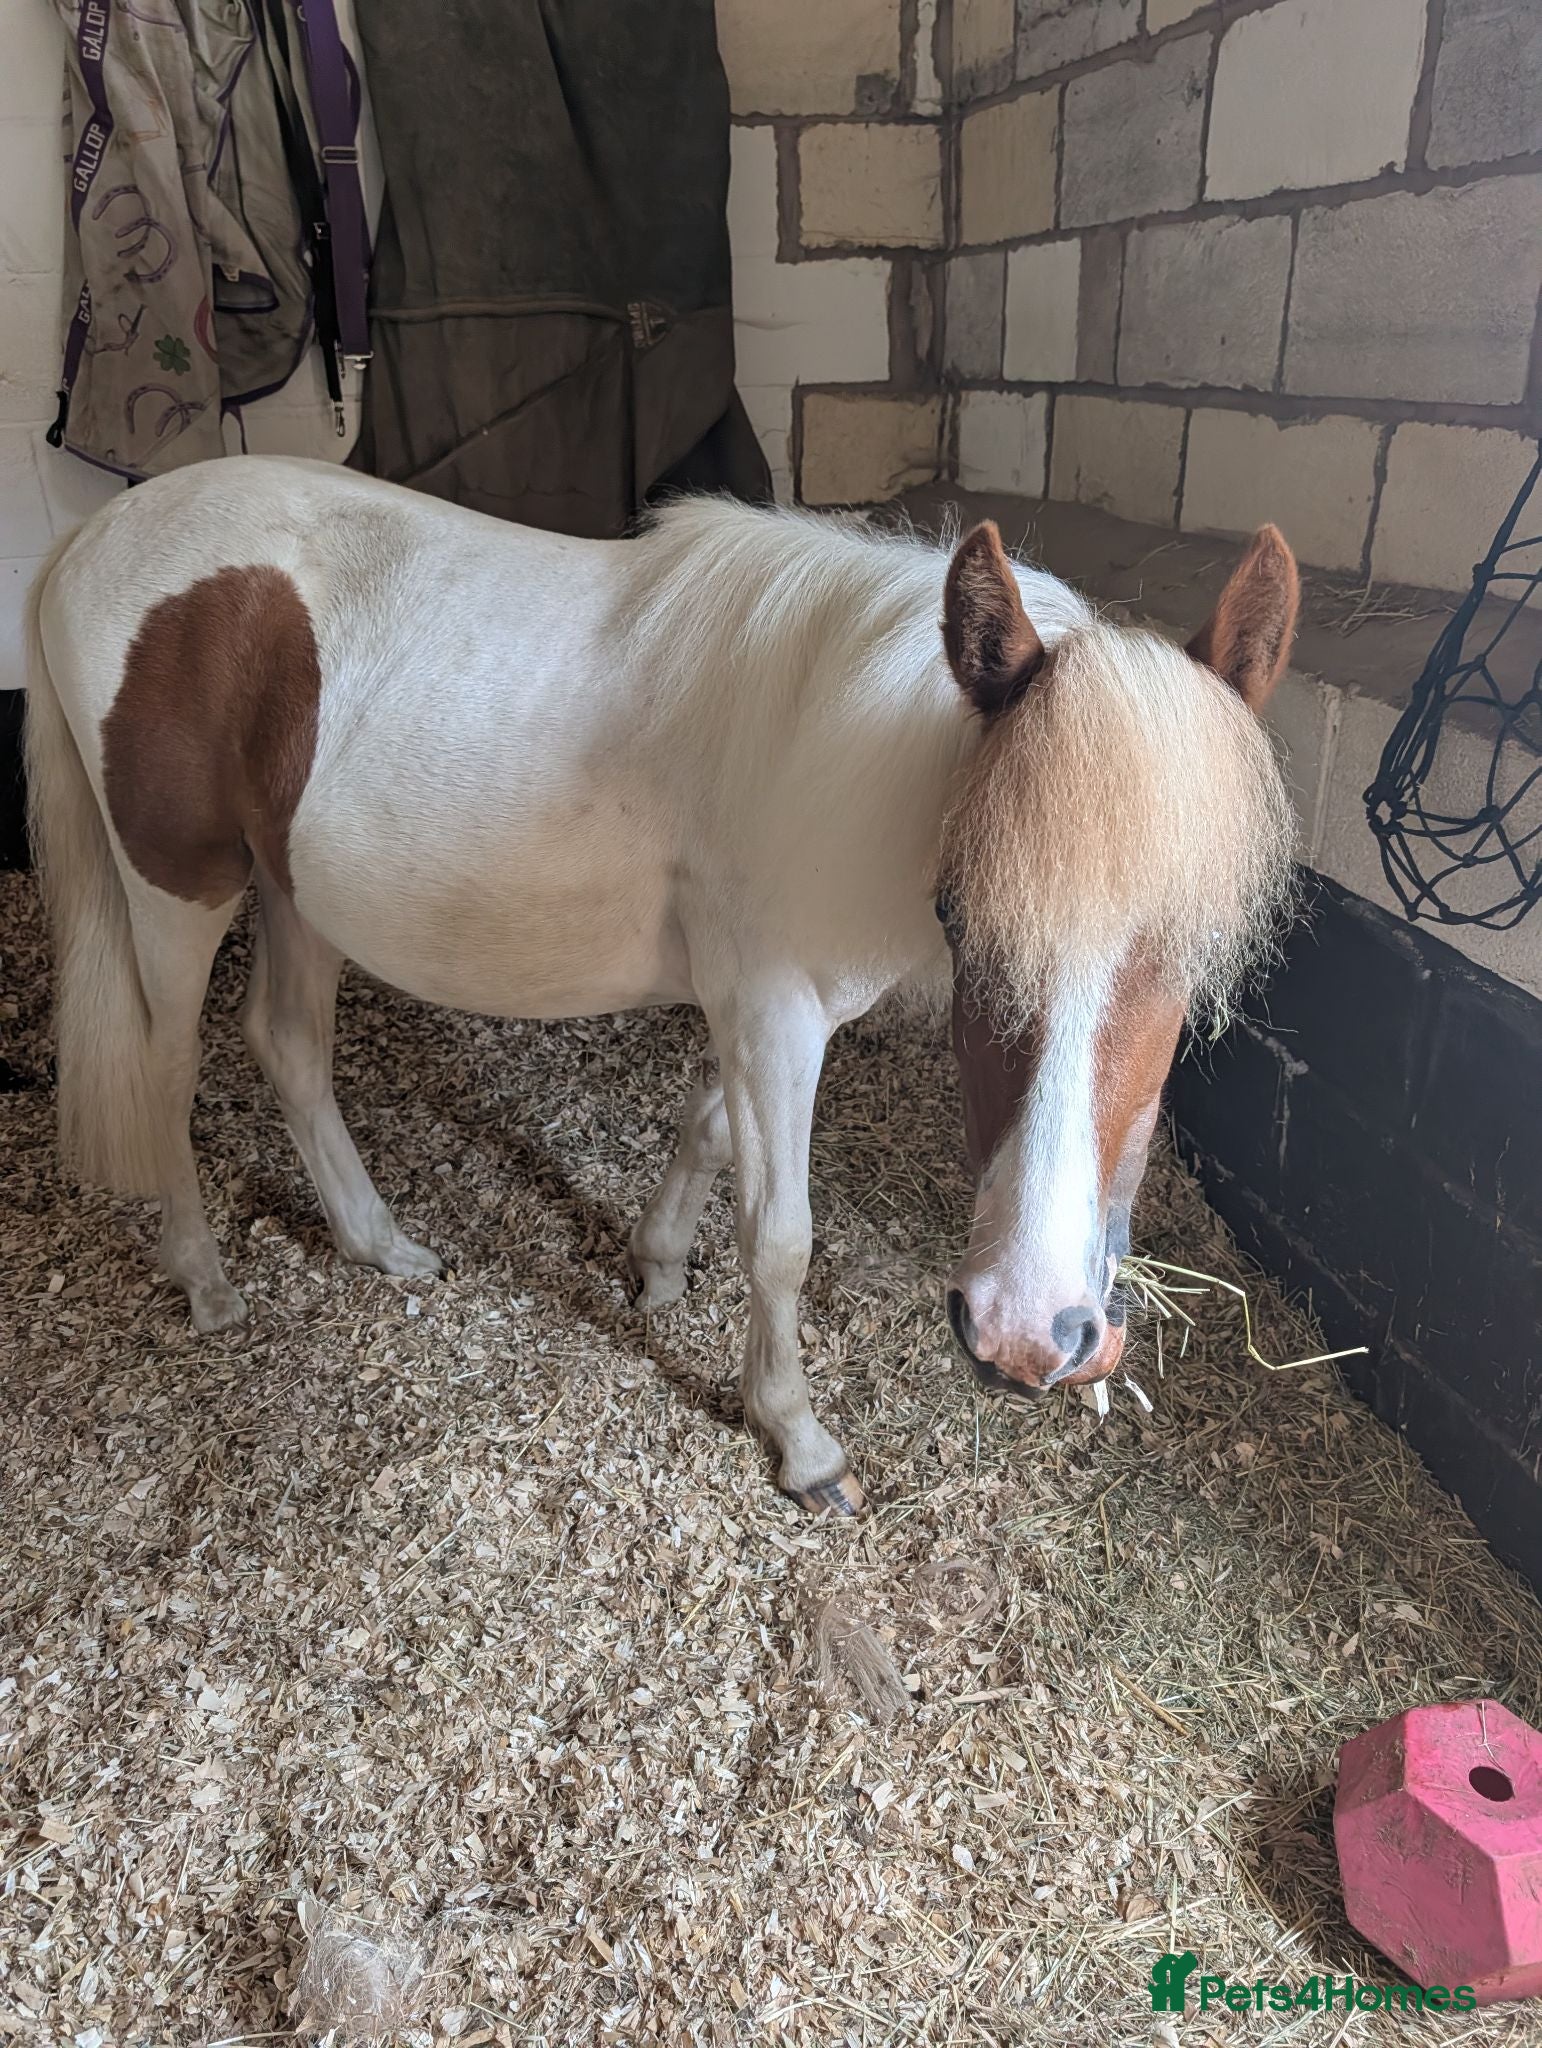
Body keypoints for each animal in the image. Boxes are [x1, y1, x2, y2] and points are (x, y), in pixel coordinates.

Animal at [24, 456, 1298, 1513]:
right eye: (965, 919)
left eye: (1197, 949)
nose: (1031, 1332)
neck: (839, 763)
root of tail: (86, 540)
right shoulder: (775, 1009)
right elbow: (780, 1234)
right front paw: (796, 1437)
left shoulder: (752, 1008)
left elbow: (710, 1131)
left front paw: (659, 1262)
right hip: (178, 890)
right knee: (163, 1071)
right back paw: (205, 1281)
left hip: (299, 891)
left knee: (287, 1046)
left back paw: (380, 1242)